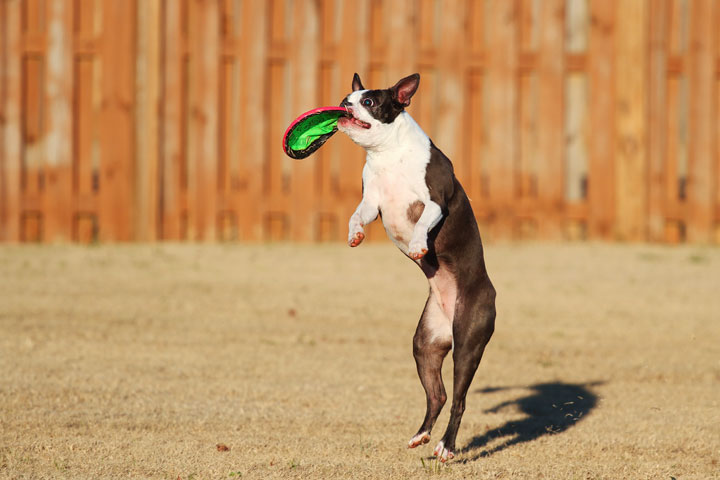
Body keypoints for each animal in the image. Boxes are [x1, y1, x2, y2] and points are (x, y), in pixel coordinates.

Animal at [338, 72, 496, 462]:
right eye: (349, 97)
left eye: (370, 102)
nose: (345, 104)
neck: (388, 155)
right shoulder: (372, 201)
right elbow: (356, 215)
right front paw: (354, 235)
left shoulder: (435, 201)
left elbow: (424, 221)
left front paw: (417, 246)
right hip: (425, 344)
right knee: (437, 394)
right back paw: (421, 435)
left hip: (468, 341)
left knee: (458, 399)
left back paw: (446, 447)